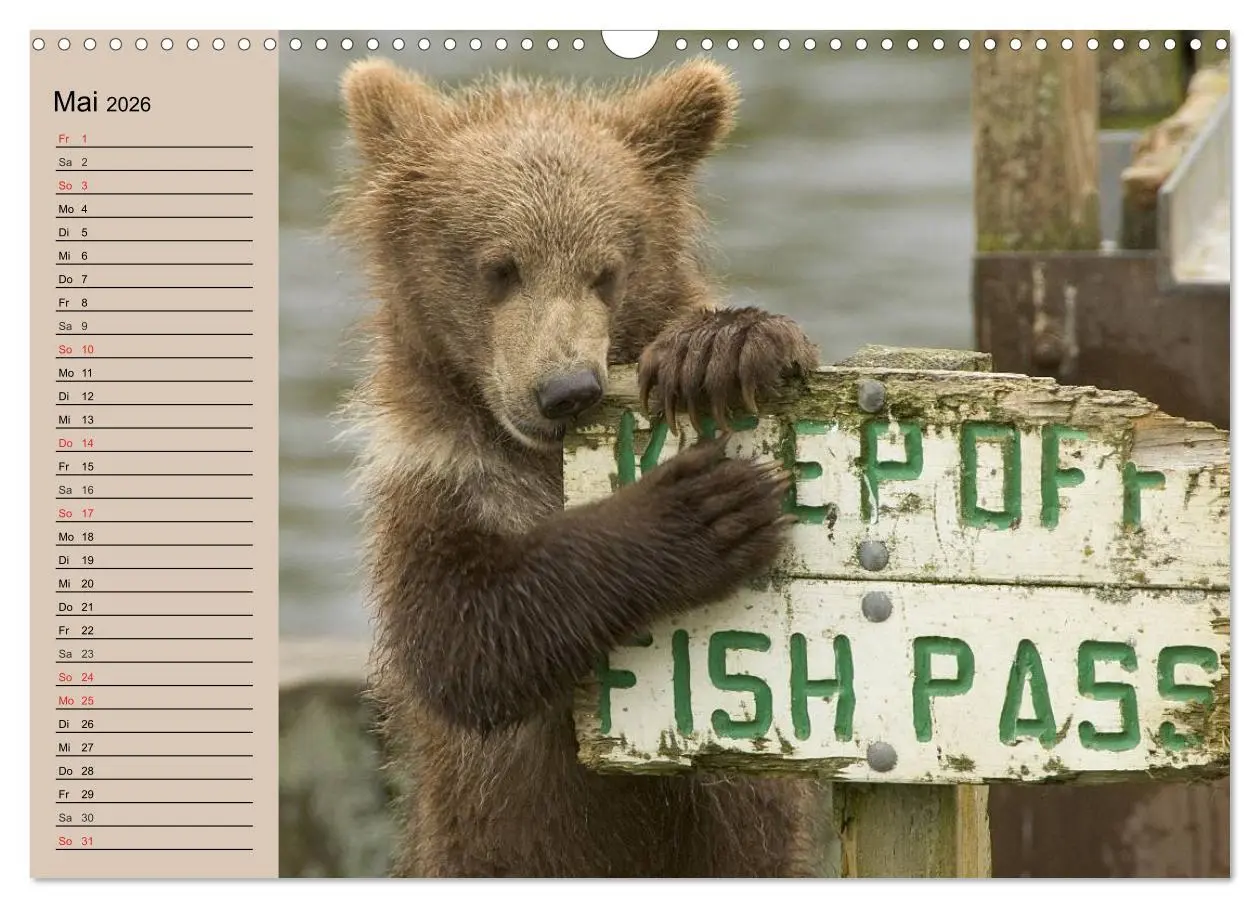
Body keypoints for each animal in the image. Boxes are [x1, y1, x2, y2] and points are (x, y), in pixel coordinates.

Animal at [332, 56, 831, 878]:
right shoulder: (433, 475)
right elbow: (464, 639)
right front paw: (705, 508)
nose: (567, 389)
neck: (534, 459)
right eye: (501, 268)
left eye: (606, 272)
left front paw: (719, 349)